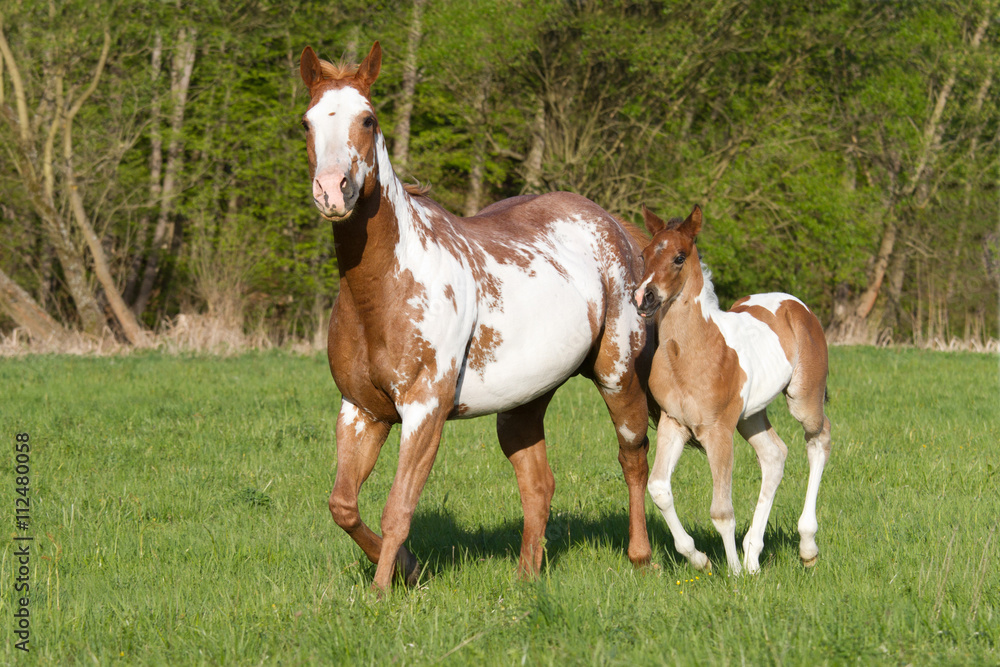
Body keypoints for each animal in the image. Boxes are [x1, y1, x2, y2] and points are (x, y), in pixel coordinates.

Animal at [299, 41, 656, 592]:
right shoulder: (361, 410)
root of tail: (612, 223)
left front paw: (382, 592)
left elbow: (397, 510)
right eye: (307, 121)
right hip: (524, 402)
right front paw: (408, 570)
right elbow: (344, 506)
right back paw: (526, 578)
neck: (381, 292)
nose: (332, 192)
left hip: (617, 375)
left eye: (368, 118)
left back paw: (641, 556)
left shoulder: (424, 410)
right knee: (538, 485)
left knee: (633, 456)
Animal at [633, 204, 831, 575]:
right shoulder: (673, 423)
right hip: (750, 415)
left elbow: (722, 511)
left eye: (679, 257)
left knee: (819, 439)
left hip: (803, 400)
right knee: (774, 455)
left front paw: (734, 572)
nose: (643, 297)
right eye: (644, 254)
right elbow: (659, 489)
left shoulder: (718, 431)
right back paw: (754, 555)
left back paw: (806, 546)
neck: (690, 354)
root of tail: (796, 304)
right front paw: (701, 560)